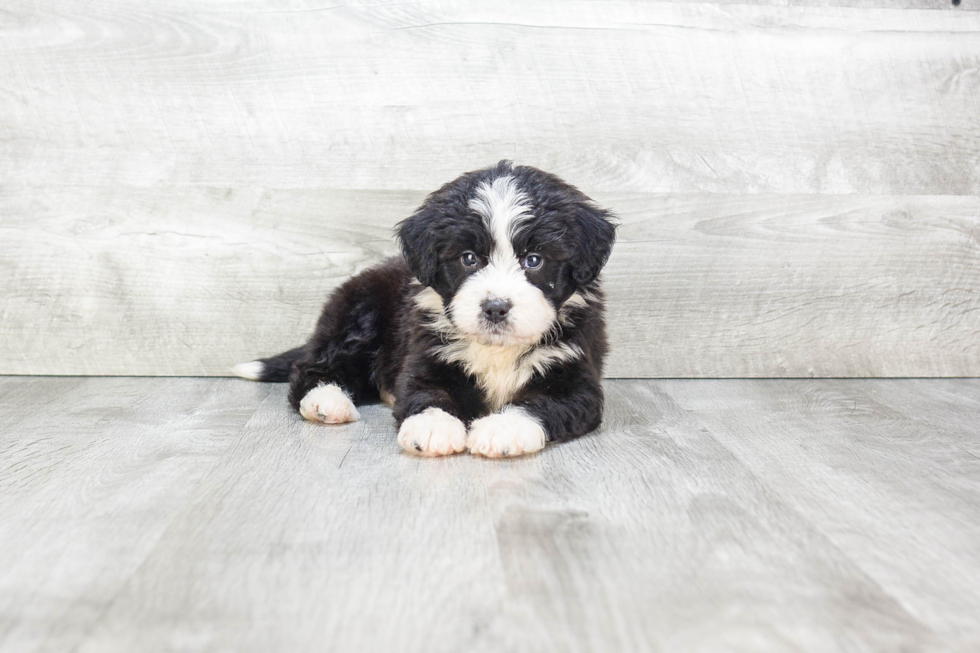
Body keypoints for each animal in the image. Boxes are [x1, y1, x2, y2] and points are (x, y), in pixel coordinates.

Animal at [232, 160, 612, 456]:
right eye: (468, 258)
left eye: (534, 260)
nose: (495, 308)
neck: (497, 350)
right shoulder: (427, 355)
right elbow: (428, 393)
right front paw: (433, 427)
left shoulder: (575, 377)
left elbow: (541, 402)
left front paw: (502, 429)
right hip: (358, 319)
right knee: (310, 369)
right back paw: (327, 401)